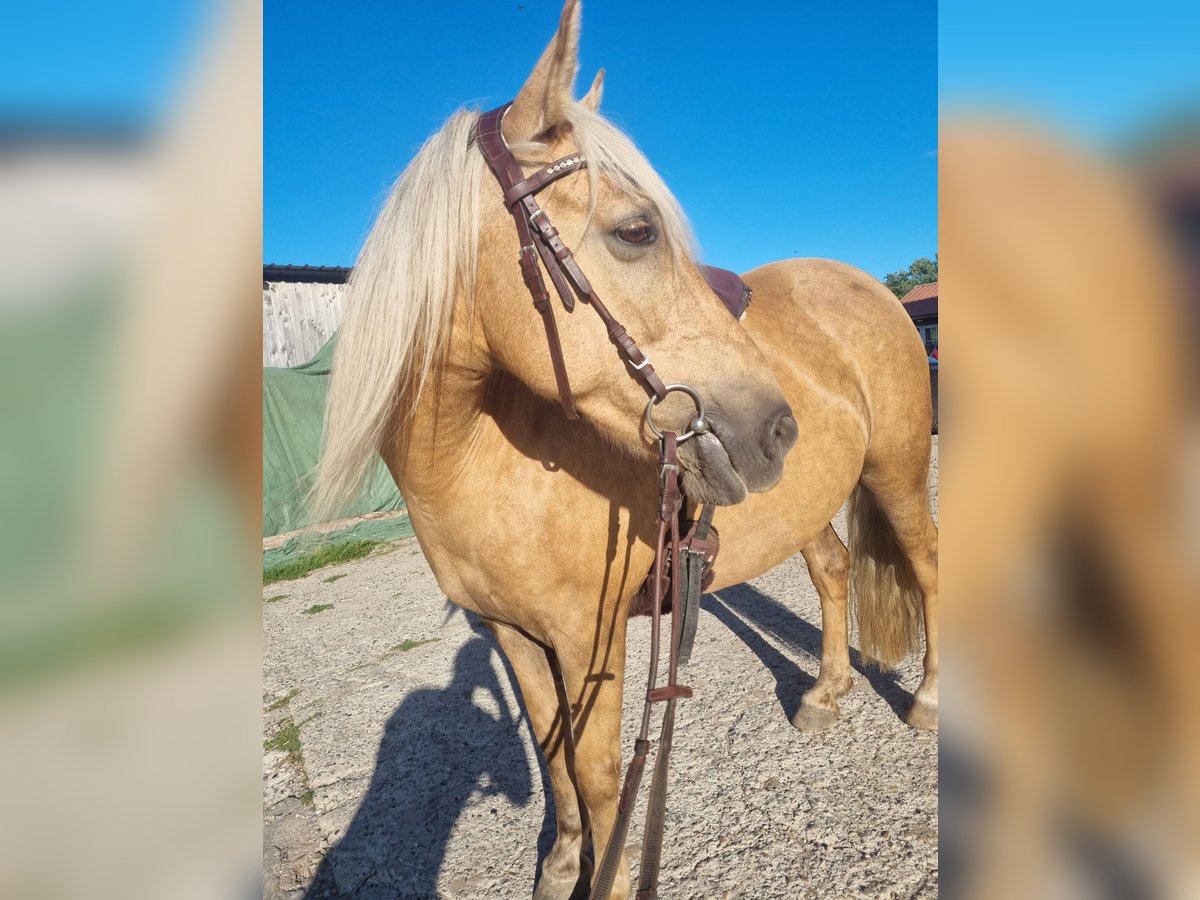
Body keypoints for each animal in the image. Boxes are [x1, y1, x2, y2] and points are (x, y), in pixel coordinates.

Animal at [314, 3, 940, 897]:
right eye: (636, 231)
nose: (775, 428)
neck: (477, 464)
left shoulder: (590, 637)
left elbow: (600, 772)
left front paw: (600, 874)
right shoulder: (513, 635)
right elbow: (552, 757)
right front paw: (561, 865)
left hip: (895, 472)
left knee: (927, 566)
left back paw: (928, 701)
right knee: (832, 569)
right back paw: (825, 694)